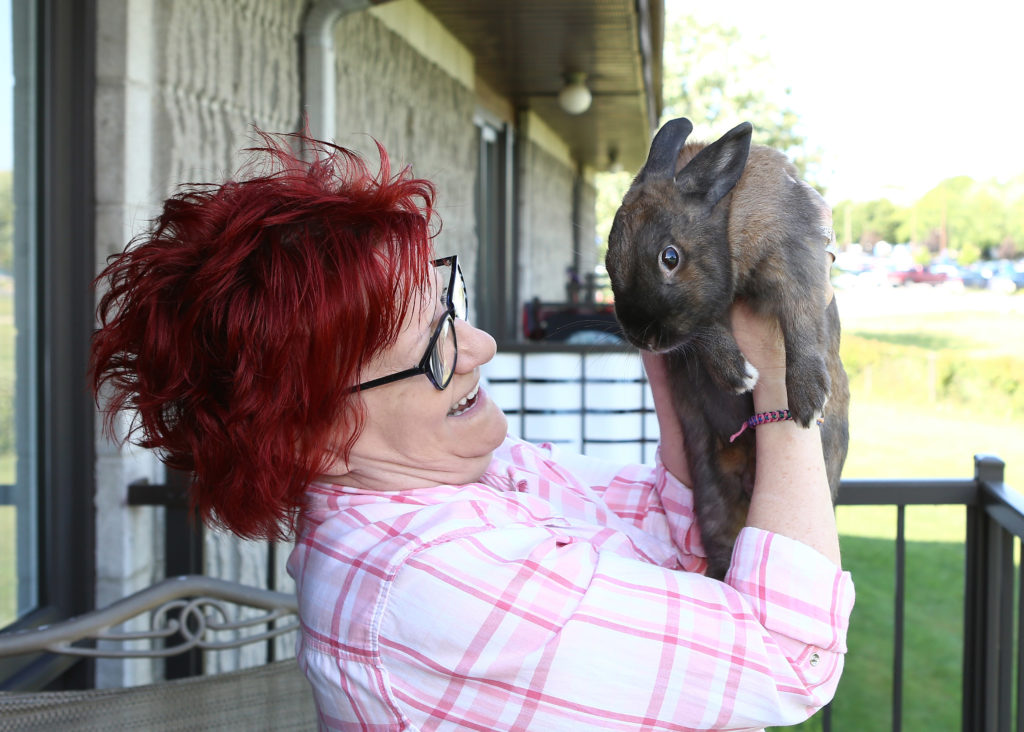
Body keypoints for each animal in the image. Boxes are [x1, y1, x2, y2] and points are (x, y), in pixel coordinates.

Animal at [605, 117, 849, 579]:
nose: (643, 338)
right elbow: (703, 334)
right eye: (609, 262)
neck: (726, 219)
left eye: (669, 257)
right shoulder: (701, 320)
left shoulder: (793, 258)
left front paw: (808, 401)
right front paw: (738, 374)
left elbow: (802, 323)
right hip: (711, 499)